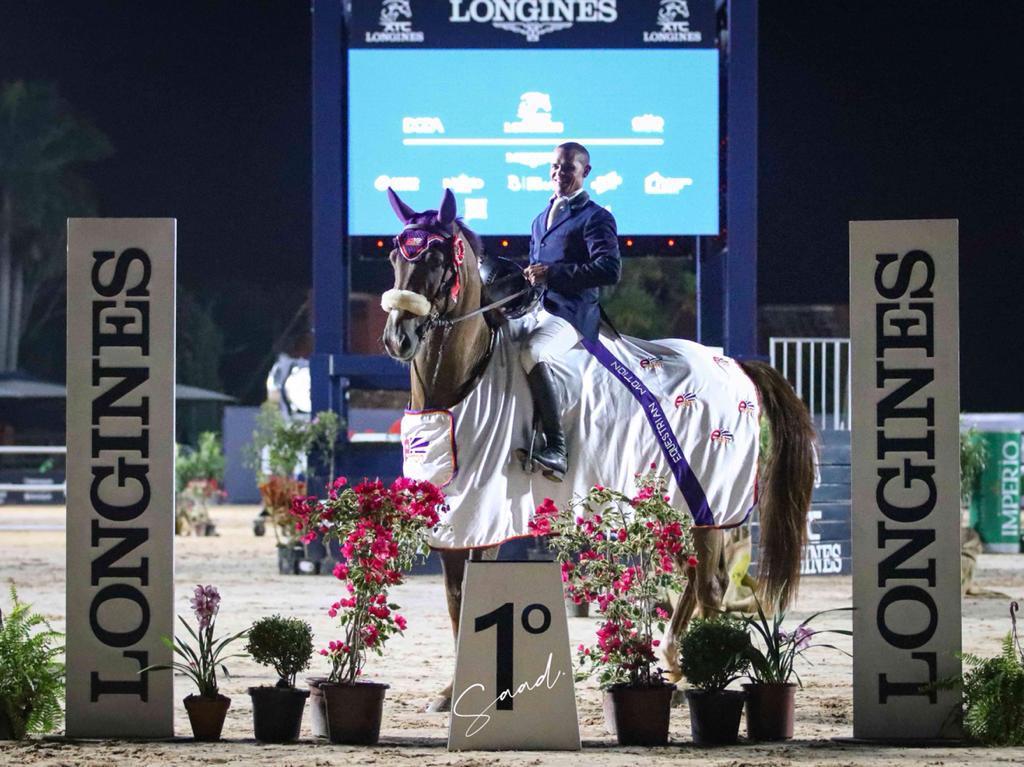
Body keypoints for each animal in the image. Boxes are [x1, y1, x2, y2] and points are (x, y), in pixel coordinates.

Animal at [378, 188, 815, 708]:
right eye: (394, 256)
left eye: (435, 258)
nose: (398, 337)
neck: (463, 382)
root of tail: (732, 363)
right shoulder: (454, 519)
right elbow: (457, 600)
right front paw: (451, 692)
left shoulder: (483, 513)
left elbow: (468, 599)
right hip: (674, 505)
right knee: (692, 579)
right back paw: (673, 669)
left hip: (710, 499)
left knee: (710, 585)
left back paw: (697, 677)